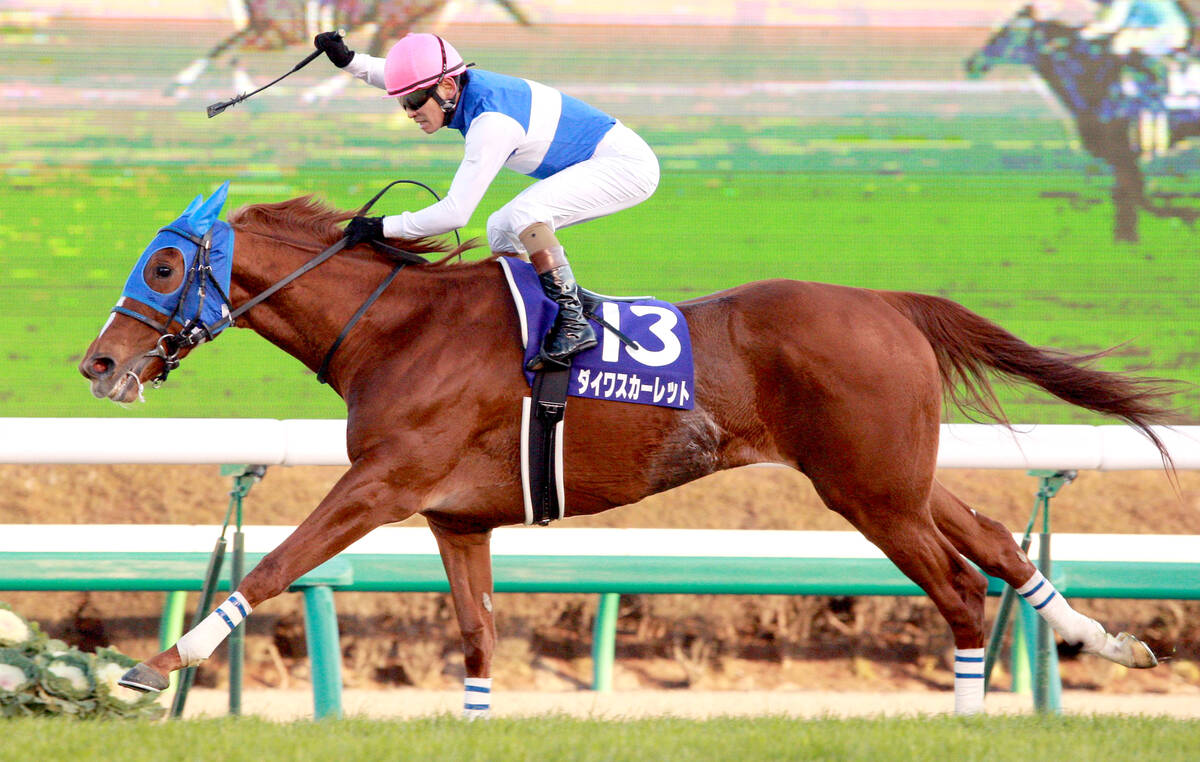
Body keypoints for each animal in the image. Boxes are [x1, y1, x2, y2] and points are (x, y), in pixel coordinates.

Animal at [79, 183, 1172, 716]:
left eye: (165, 266)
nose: (98, 362)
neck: (398, 328)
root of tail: (890, 302)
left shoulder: (383, 482)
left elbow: (276, 563)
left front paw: (158, 665)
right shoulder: (457, 516)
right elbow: (477, 634)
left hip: (870, 492)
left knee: (955, 588)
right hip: (894, 474)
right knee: (993, 536)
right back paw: (1105, 637)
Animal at [966, 4, 1200, 242]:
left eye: (1008, 32)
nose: (972, 63)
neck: (1096, 79)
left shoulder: (1123, 151)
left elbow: (1132, 196)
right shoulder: (1118, 155)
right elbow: (1130, 196)